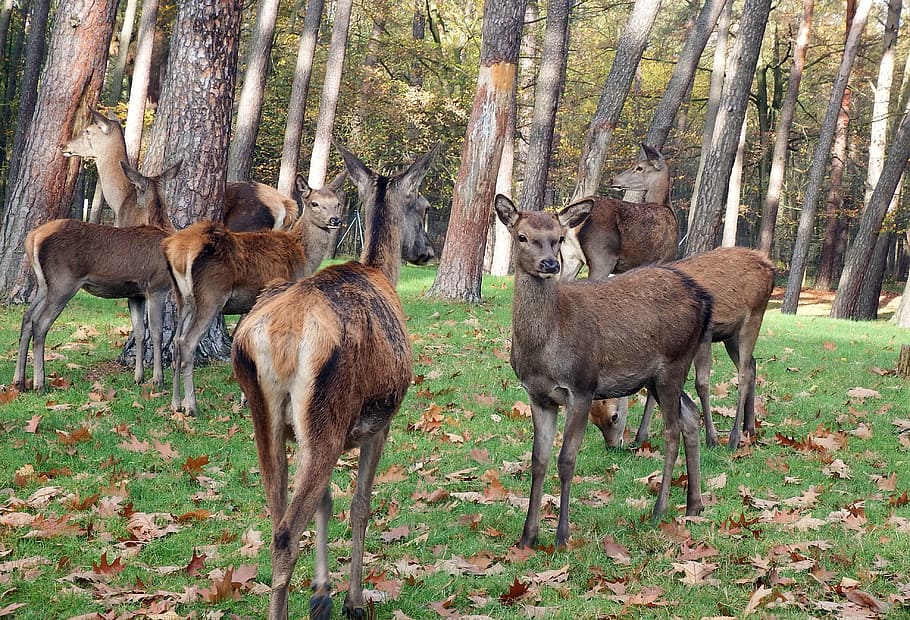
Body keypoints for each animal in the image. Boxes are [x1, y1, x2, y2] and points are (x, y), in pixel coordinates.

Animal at [13, 161, 180, 392]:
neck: (162, 228)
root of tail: (33, 238)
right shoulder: (157, 286)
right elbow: (156, 332)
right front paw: (158, 380)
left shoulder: (135, 294)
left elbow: (138, 331)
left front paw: (138, 377)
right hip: (63, 282)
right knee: (40, 323)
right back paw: (40, 383)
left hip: (44, 285)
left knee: (27, 318)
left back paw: (19, 381)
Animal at [231, 141, 437, 620]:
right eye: (422, 206)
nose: (428, 251)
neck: (381, 270)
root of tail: (282, 334)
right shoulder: (379, 423)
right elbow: (360, 505)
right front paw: (352, 600)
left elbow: (326, 501)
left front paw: (321, 591)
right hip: (329, 412)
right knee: (286, 533)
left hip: (269, 417)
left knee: (275, 516)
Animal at [494, 194, 712, 550]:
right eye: (522, 236)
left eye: (559, 238)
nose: (550, 264)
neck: (545, 347)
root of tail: (705, 300)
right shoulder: (538, 396)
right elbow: (538, 460)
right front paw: (528, 536)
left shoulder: (582, 386)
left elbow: (566, 460)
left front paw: (562, 536)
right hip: (656, 376)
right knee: (690, 417)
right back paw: (695, 504)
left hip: (674, 364)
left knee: (673, 430)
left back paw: (660, 508)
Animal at [560, 143, 678, 281]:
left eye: (639, 168)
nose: (613, 180)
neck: (666, 207)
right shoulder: (666, 257)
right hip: (602, 256)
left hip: (570, 257)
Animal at [590, 246, 775, 451]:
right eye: (594, 421)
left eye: (613, 416)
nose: (612, 447)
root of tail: (770, 267)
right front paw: (640, 437)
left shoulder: (705, 335)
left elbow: (701, 383)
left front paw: (712, 439)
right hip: (730, 333)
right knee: (751, 365)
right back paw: (749, 428)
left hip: (754, 315)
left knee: (743, 374)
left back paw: (734, 438)